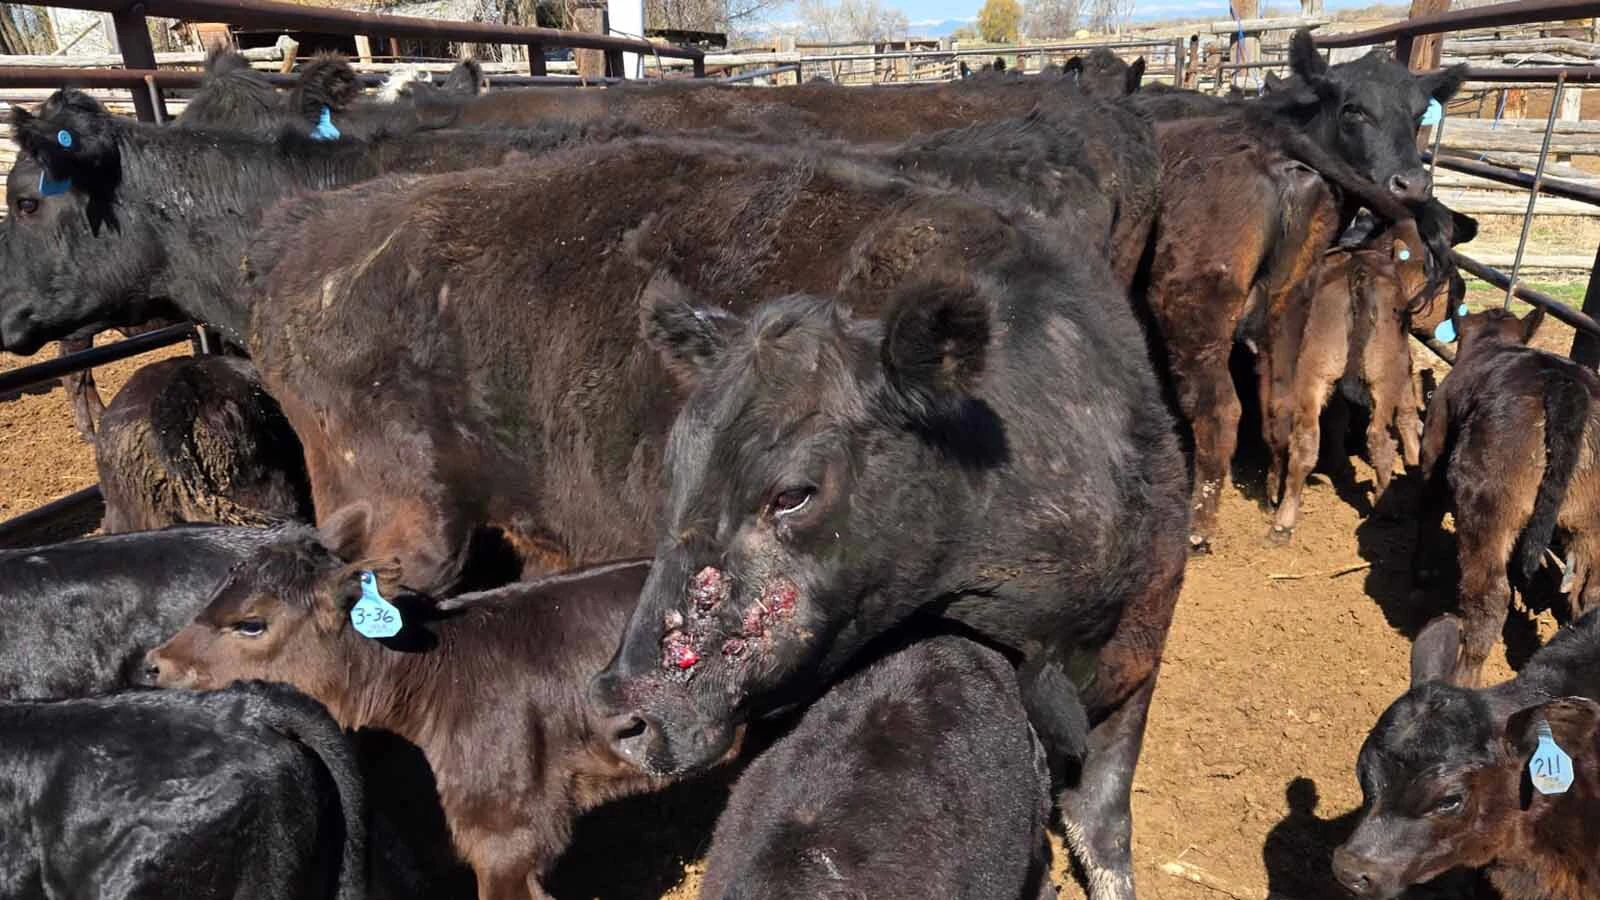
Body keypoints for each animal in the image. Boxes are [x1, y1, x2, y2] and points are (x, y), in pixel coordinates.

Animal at [1267, 202, 1477, 539]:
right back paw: (1385, 505)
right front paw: (1413, 458)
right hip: (1381, 375)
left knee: (1306, 439)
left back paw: (1284, 517)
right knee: (1378, 438)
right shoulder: (1401, 367)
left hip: (1313, 376)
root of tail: (1359, 273)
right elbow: (1405, 412)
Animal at [1414, 305, 1600, 686]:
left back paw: (1463, 678)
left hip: (1486, 504)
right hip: (1591, 520)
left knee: (1490, 597)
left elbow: (1427, 508)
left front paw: (1420, 575)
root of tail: (1565, 384)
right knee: (1589, 593)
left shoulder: (1434, 444)